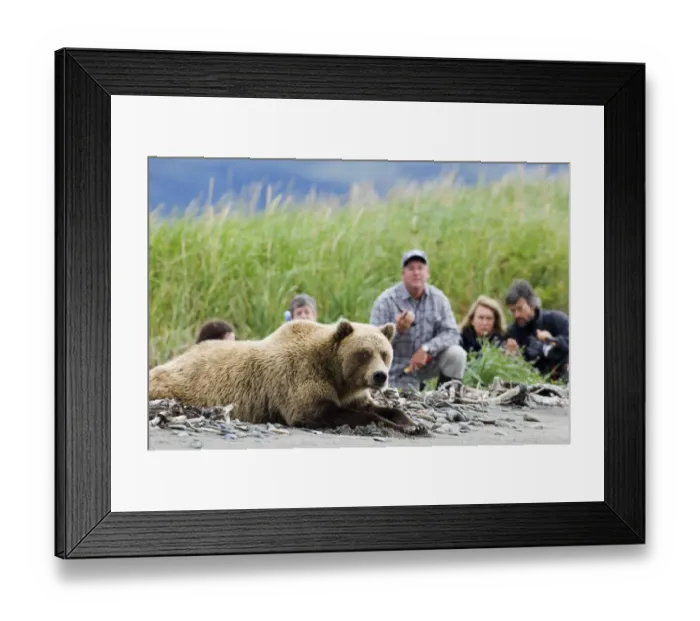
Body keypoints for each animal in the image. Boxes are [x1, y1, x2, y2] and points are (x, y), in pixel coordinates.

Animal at [148, 318, 421, 433]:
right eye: (364, 353)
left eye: (384, 353)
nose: (380, 376)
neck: (335, 373)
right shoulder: (300, 378)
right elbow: (320, 411)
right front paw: (397, 426)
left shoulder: (350, 392)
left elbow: (373, 407)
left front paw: (413, 424)